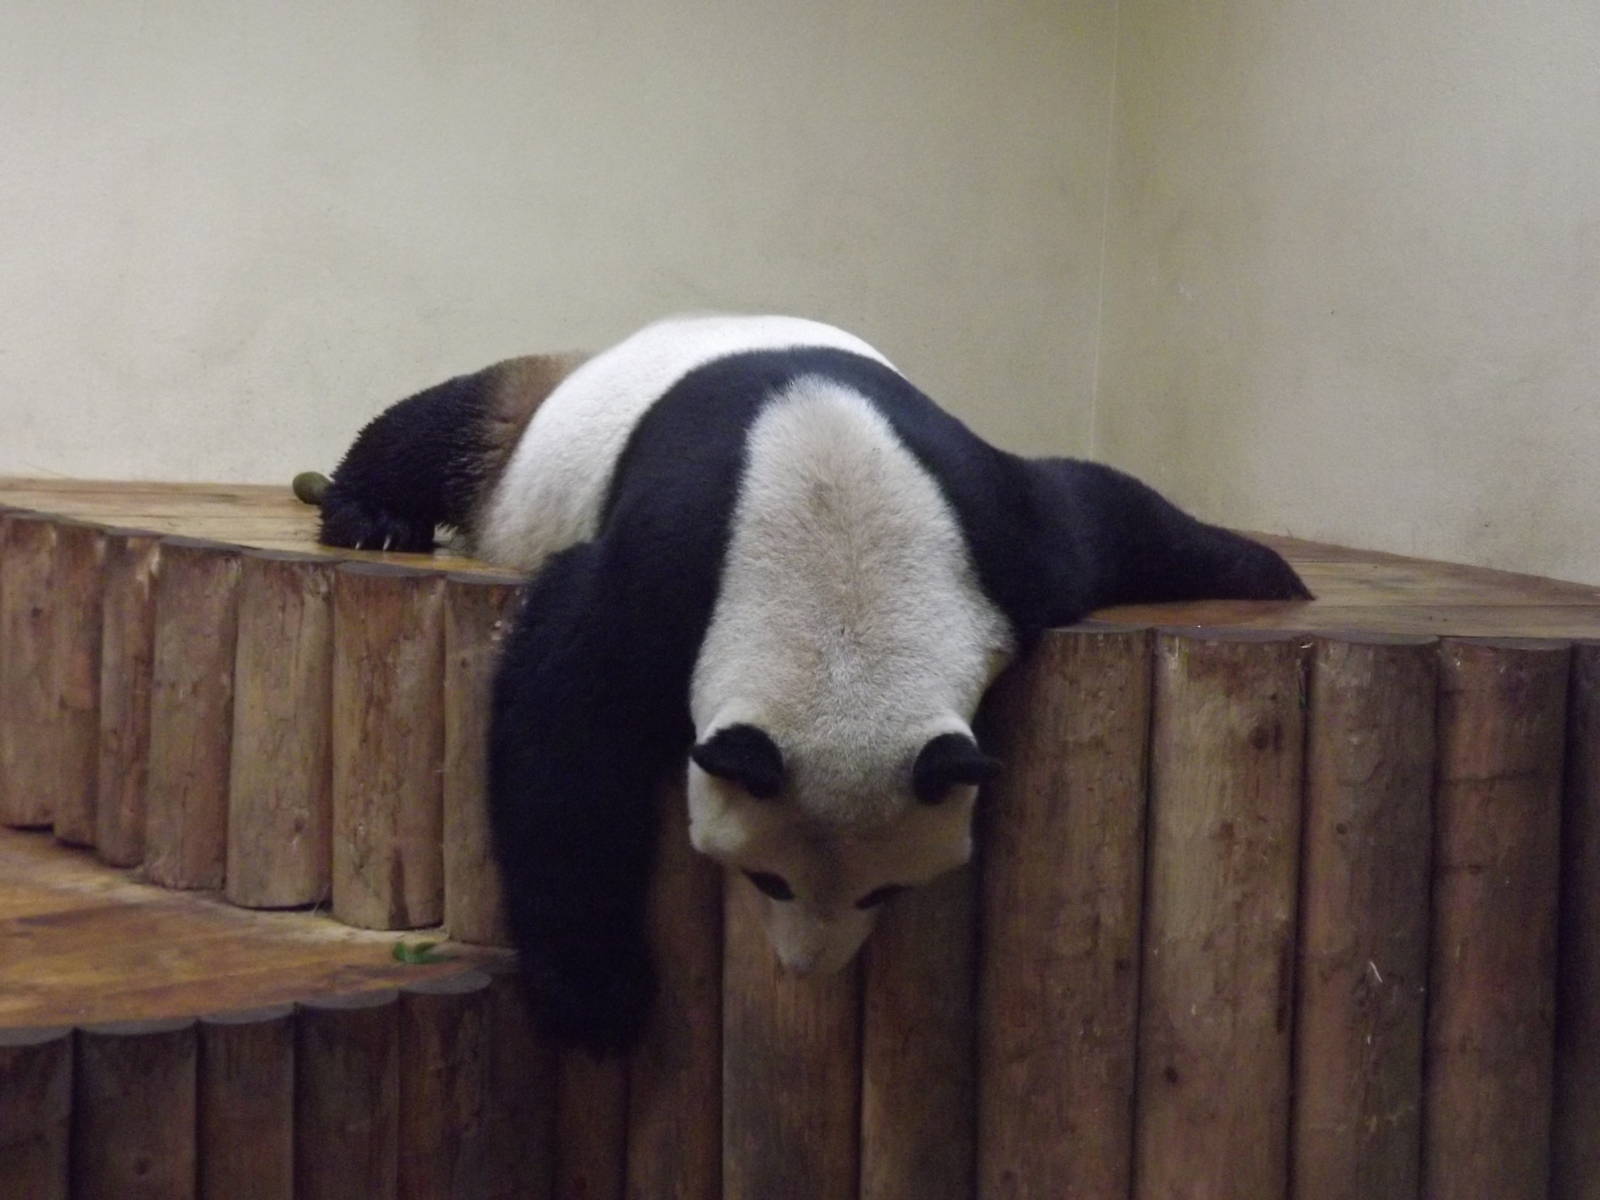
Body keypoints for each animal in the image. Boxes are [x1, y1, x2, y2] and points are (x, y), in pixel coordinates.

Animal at [316, 313, 1310, 1053]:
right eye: (765, 879)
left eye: (886, 892)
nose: (807, 970)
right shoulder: (668, 575)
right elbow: (564, 734)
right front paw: (598, 1002)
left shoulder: (997, 540)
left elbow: (1101, 510)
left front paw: (1275, 575)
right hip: (535, 421)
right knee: (446, 425)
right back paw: (369, 515)